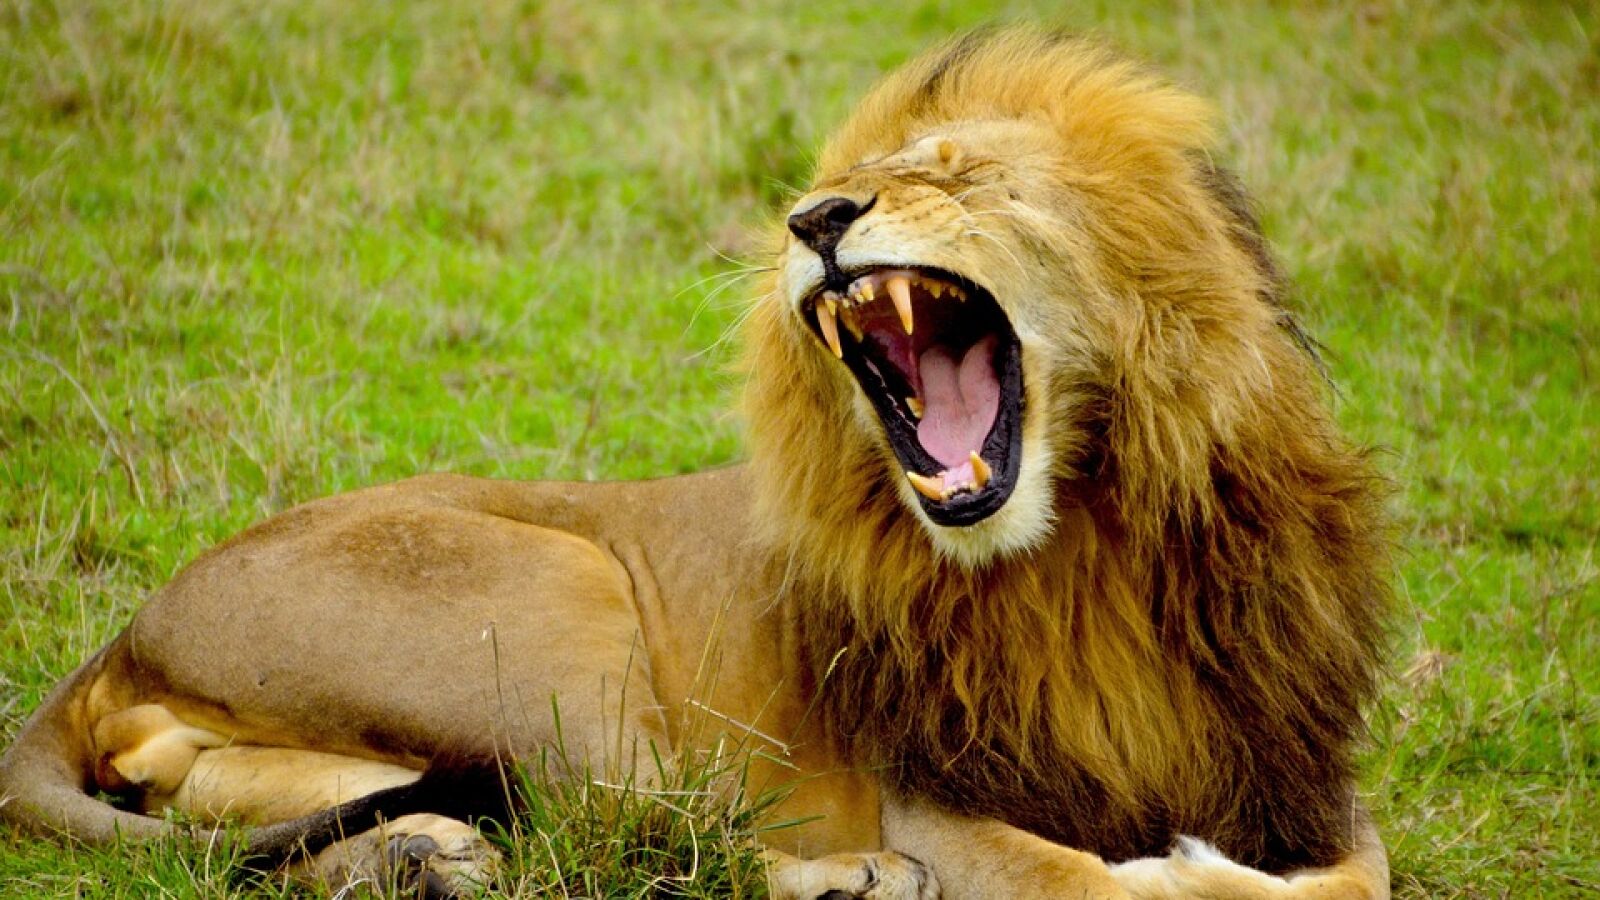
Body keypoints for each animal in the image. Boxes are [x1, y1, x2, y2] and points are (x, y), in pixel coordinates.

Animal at [0, 29, 1392, 899]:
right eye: (838, 184)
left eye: (958, 173)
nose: (815, 220)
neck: (1089, 540)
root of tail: (130, 625)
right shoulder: (932, 793)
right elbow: (1094, 881)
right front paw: (1171, 868)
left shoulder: (1291, 767)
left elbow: (1355, 877)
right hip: (553, 600)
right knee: (631, 833)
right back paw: (844, 880)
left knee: (230, 812)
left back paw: (421, 858)